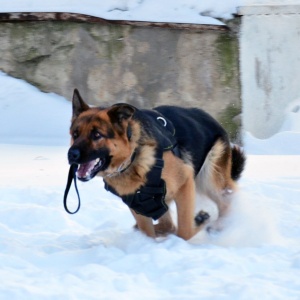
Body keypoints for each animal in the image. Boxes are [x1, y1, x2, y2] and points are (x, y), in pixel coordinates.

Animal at [67, 89, 245, 241]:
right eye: (75, 134)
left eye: (97, 135)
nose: (71, 155)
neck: (132, 158)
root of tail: (209, 118)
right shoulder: (140, 203)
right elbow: (151, 231)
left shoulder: (185, 183)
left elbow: (184, 231)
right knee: (169, 225)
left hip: (210, 181)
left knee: (227, 201)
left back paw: (221, 225)